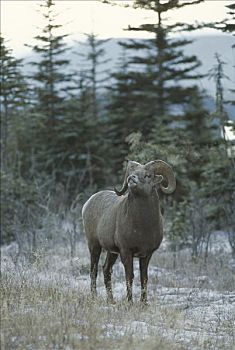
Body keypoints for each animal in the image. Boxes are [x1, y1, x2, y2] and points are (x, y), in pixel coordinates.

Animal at [81, 160, 175, 302]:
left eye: (148, 175)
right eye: (132, 173)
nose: (131, 178)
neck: (142, 227)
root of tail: (88, 202)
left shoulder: (147, 255)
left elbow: (144, 278)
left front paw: (144, 303)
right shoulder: (126, 252)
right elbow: (129, 277)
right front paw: (130, 302)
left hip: (112, 252)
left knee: (106, 270)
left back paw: (112, 301)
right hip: (94, 246)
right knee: (93, 271)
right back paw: (94, 297)